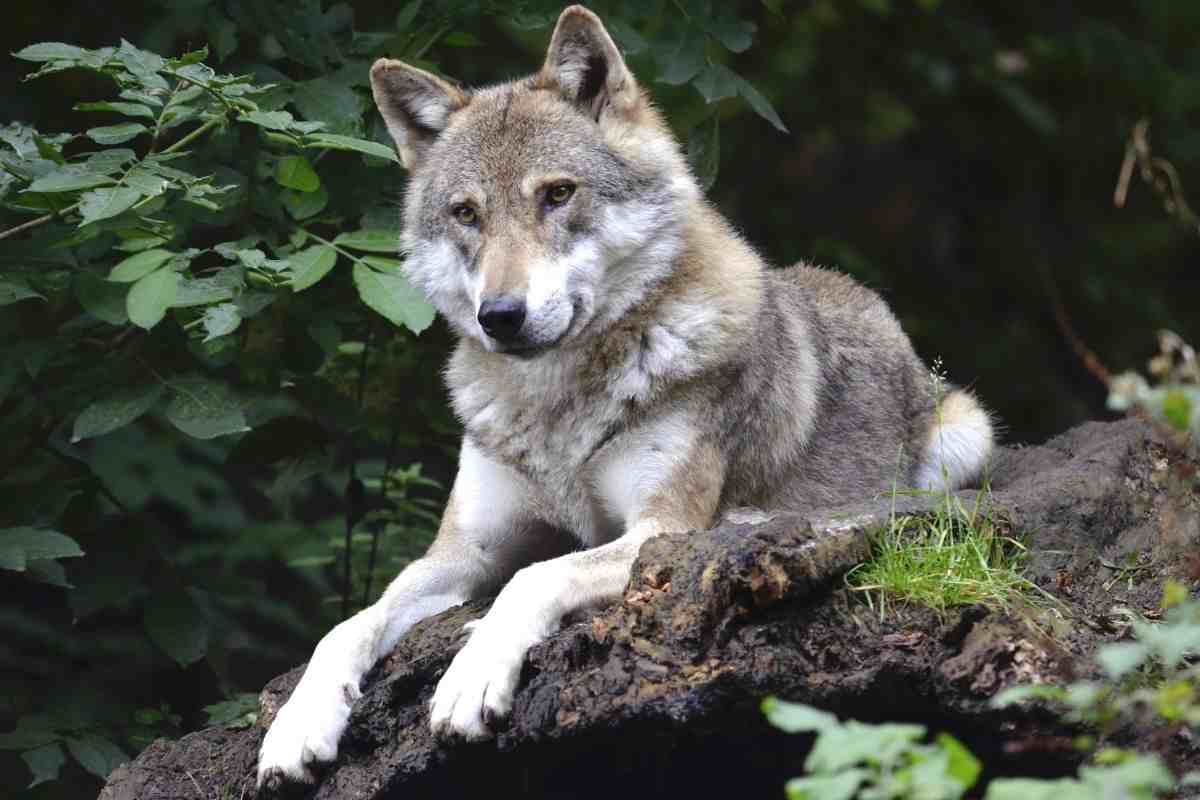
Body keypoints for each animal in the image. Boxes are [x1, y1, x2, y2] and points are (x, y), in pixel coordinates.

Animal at [255, 4, 993, 796]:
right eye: (466, 214)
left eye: (557, 193)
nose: (500, 315)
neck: (557, 407)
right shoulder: (462, 550)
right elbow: (349, 624)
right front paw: (297, 725)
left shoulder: (658, 530)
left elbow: (535, 576)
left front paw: (471, 675)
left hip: (963, 436)